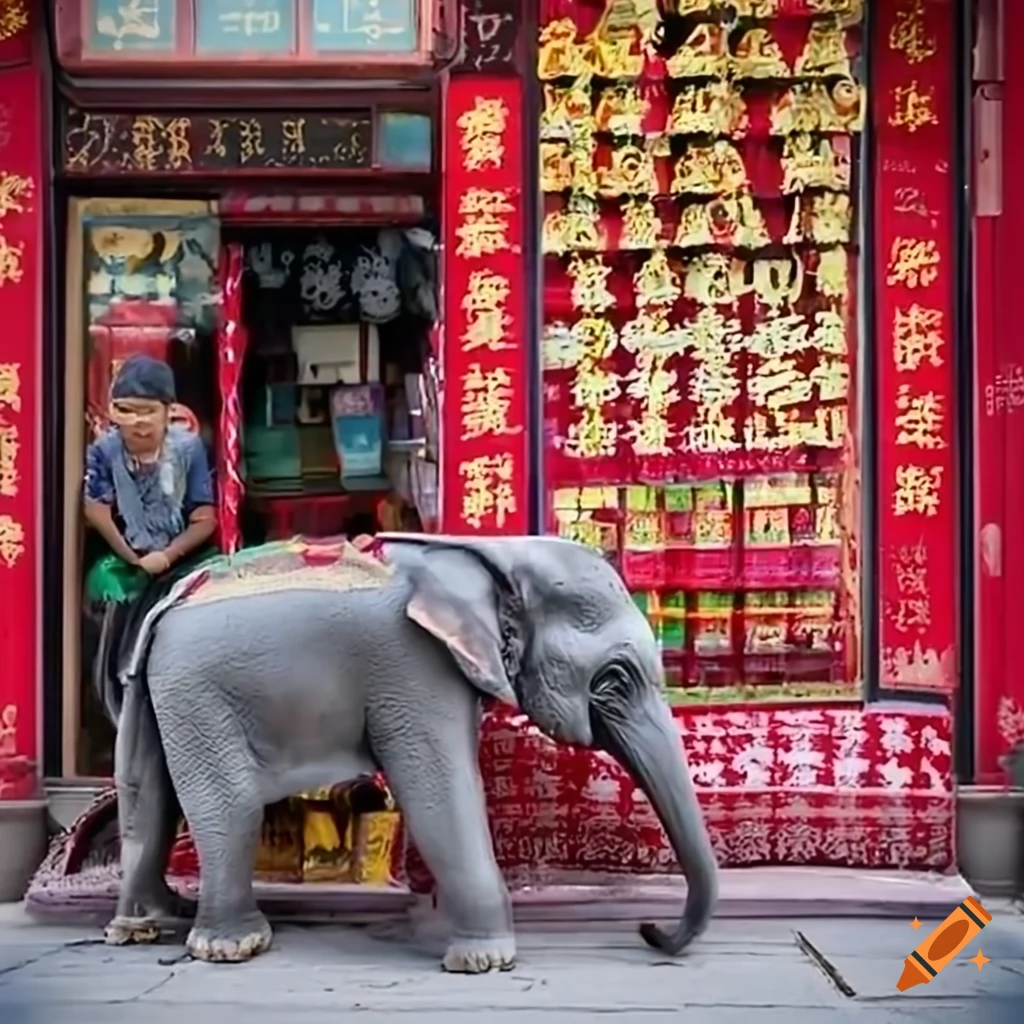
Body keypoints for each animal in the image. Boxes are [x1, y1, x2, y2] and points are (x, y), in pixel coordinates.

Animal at [101, 534, 719, 971]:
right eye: (614, 679)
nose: (649, 929)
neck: (493, 555)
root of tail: (165, 607)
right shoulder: (412, 662)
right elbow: (438, 790)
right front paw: (485, 961)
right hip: (198, 690)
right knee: (230, 806)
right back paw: (233, 945)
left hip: (161, 696)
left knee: (148, 800)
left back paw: (150, 921)